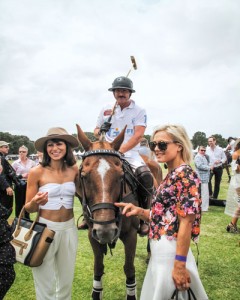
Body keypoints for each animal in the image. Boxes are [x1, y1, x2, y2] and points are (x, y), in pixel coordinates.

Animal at [75, 123, 161, 298]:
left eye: (121, 175)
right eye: (84, 176)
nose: (105, 231)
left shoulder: (130, 235)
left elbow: (129, 269)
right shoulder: (92, 235)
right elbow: (98, 268)